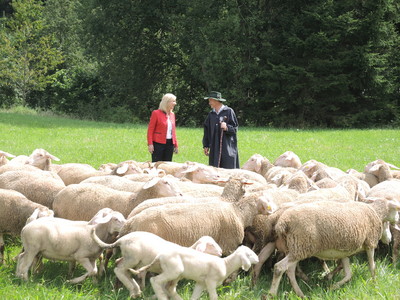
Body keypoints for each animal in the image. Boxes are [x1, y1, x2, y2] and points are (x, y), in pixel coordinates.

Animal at [90, 230, 222, 298]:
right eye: (211, 244)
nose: (221, 253)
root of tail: (121, 240)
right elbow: (166, 289)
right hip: (133, 258)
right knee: (119, 270)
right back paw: (133, 290)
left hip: (129, 258)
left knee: (120, 265)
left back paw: (135, 290)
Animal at [266, 198, 400, 298]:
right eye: (396, 211)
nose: (389, 240)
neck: (376, 212)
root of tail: (283, 222)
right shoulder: (370, 244)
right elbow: (372, 267)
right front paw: (375, 284)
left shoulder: (345, 252)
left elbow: (348, 274)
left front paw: (332, 286)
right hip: (302, 246)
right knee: (279, 267)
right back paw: (271, 294)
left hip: (296, 248)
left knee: (290, 270)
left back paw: (300, 294)